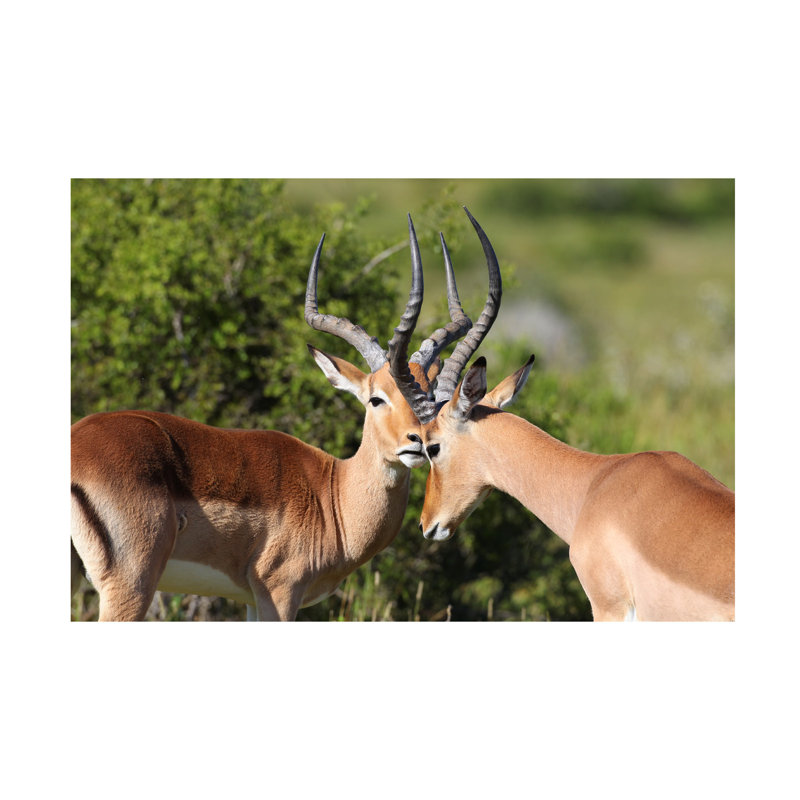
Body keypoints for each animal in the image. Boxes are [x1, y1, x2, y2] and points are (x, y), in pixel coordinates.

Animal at [70, 209, 501, 620]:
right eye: (375, 399)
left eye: (430, 395)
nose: (416, 443)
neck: (333, 496)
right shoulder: (279, 593)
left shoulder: (249, 600)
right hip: (132, 583)